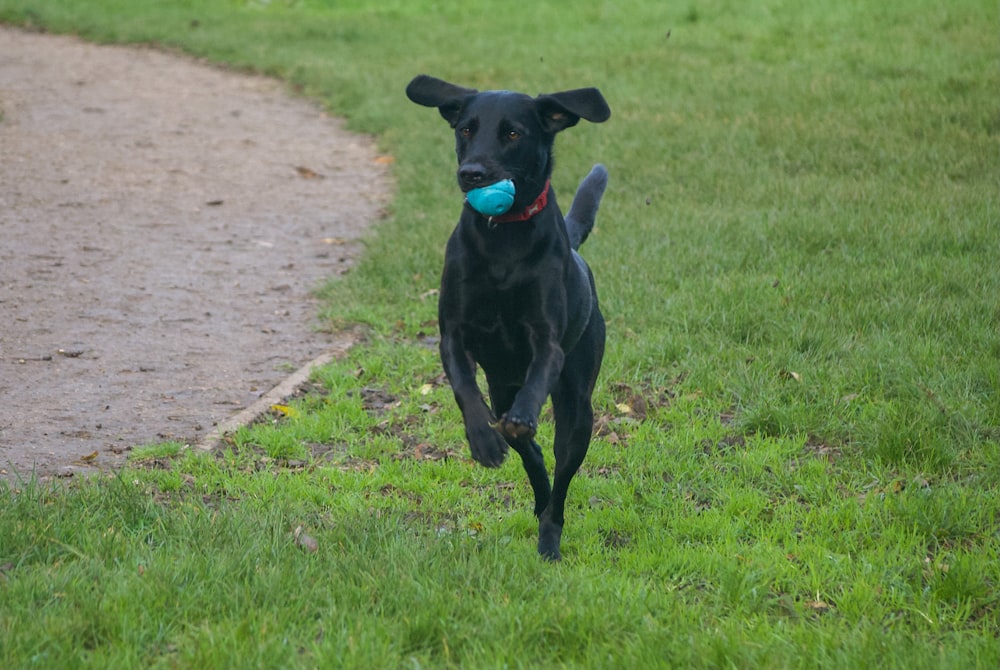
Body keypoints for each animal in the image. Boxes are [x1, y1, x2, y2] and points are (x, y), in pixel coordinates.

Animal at [406, 75, 608, 560]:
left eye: (513, 133)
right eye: (466, 129)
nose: (472, 174)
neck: (503, 239)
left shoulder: (546, 340)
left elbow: (537, 381)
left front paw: (520, 422)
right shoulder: (453, 335)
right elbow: (465, 389)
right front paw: (484, 439)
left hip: (579, 407)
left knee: (561, 476)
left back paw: (549, 537)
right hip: (501, 386)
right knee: (532, 456)